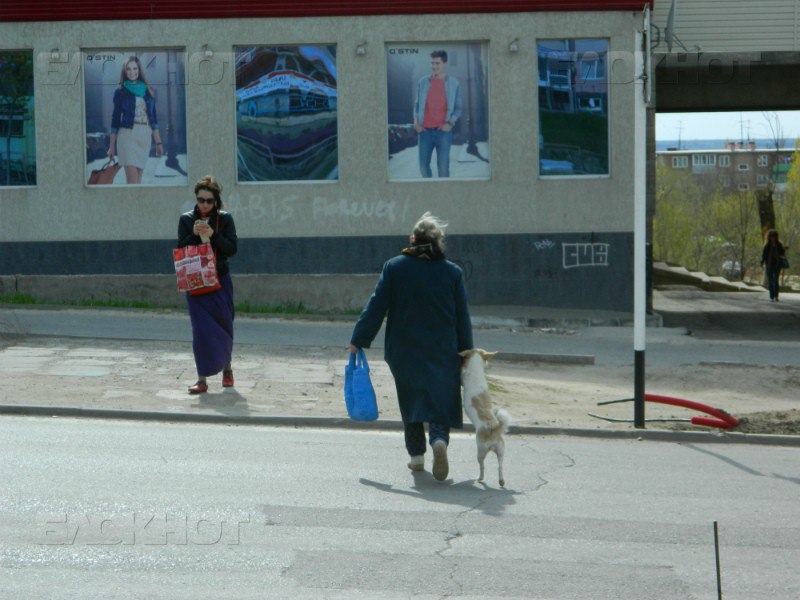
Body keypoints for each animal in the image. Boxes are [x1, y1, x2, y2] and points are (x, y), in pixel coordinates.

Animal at [460, 350, 510, 486]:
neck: (476, 368)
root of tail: (493, 429)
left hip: (480, 452)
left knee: (482, 466)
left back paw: (479, 478)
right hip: (501, 452)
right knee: (500, 466)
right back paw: (501, 481)